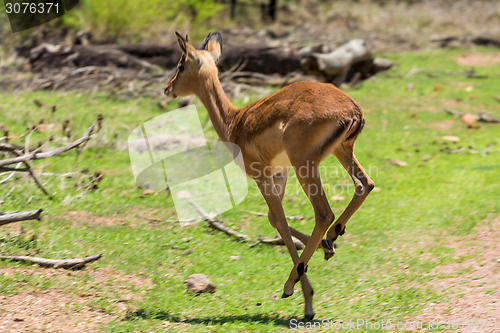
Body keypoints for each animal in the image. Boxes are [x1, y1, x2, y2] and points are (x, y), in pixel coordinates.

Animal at [165, 32, 376, 320]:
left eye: (180, 65)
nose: (168, 88)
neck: (235, 122)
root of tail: (353, 109)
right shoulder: (279, 173)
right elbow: (275, 220)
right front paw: (326, 249)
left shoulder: (261, 176)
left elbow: (280, 221)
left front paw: (305, 299)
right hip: (341, 152)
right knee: (365, 185)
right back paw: (332, 238)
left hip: (306, 166)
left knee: (324, 213)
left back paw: (291, 282)